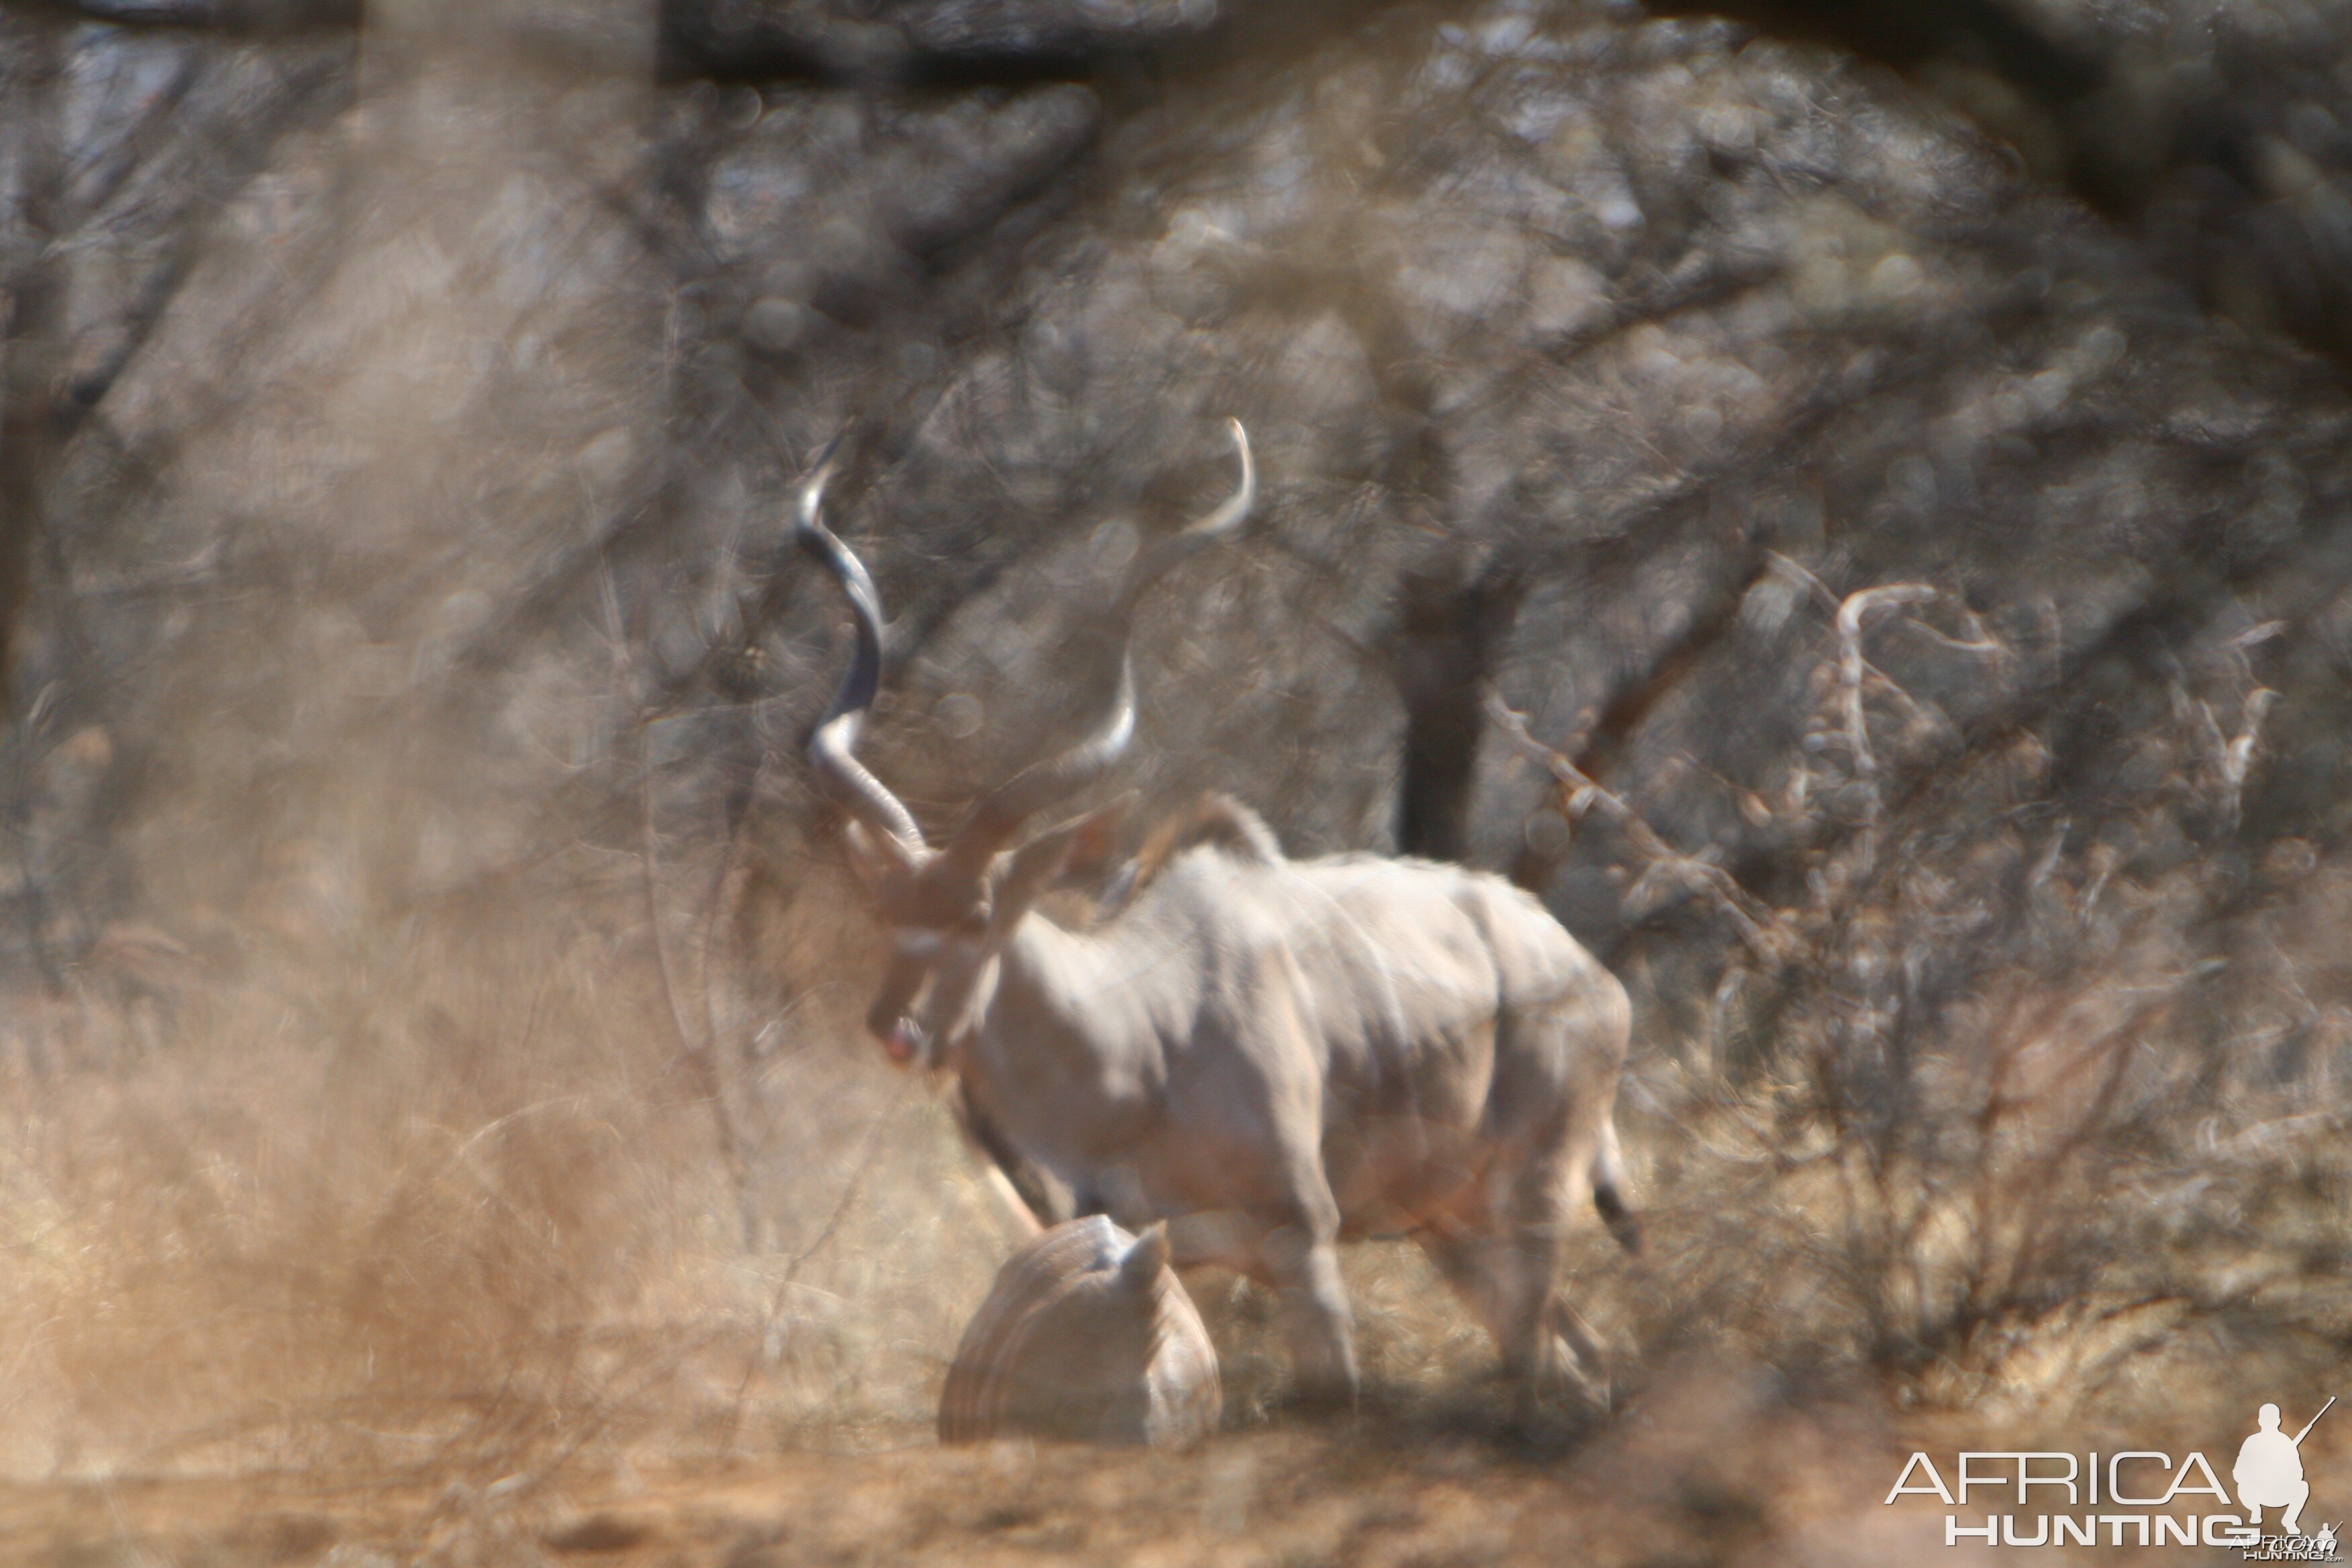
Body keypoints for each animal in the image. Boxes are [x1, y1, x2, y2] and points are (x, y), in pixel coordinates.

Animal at [790, 423, 1636, 1401]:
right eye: (885, 913)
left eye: (977, 918)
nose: (897, 1030)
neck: (1139, 1036)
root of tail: (1593, 977)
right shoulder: (1160, 1260)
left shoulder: (1303, 1245)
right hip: (1452, 1230)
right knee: (1577, 1353)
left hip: (1527, 1201)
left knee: (1550, 1354)